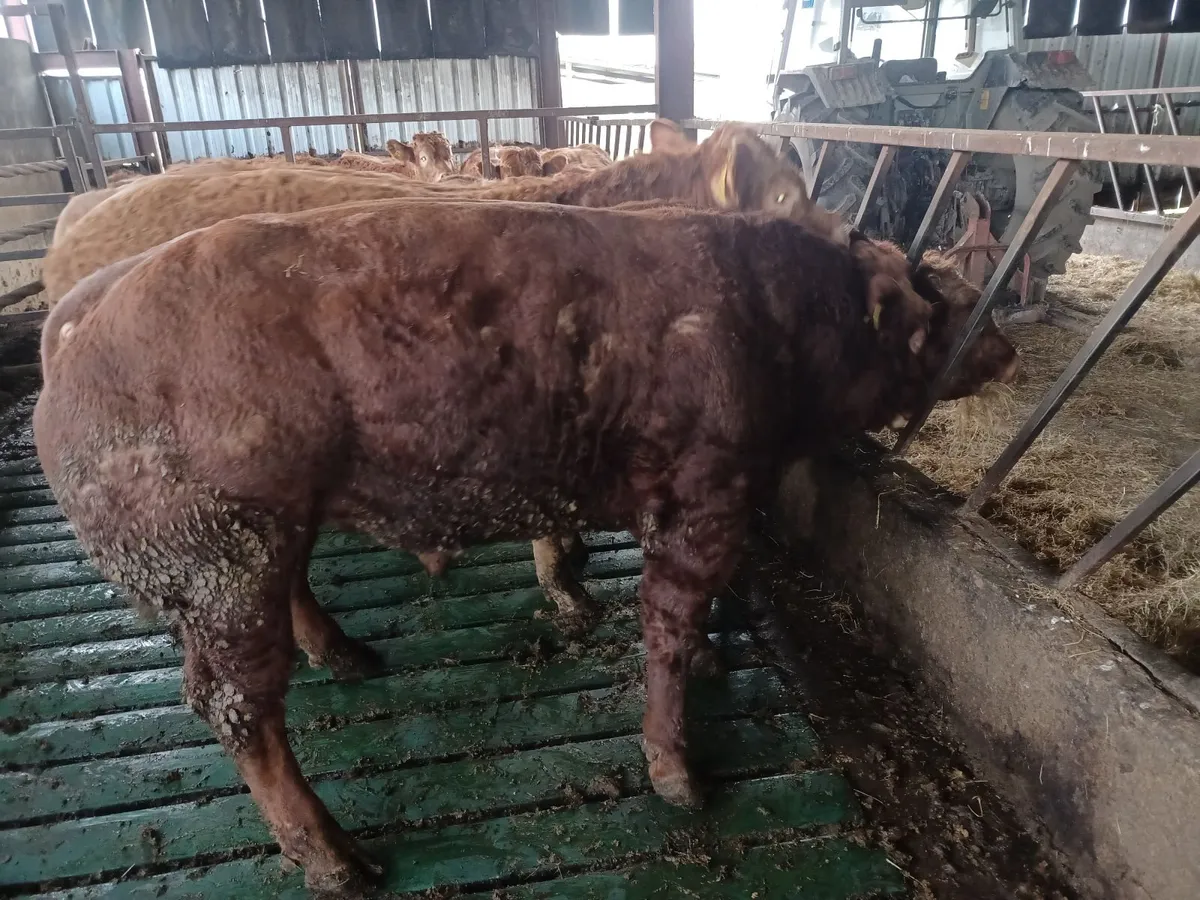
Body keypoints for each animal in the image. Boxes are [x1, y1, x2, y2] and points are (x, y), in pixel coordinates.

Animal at [35, 197, 1016, 894]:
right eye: (946, 301)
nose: (1004, 345)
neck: (785, 330)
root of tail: (75, 324)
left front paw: (705, 665)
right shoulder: (706, 488)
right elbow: (667, 620)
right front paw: (682, 778)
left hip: (268, 534)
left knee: (288, 616)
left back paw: (351, 659)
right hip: (213, 552)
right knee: (236, 709)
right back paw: (342, 863)